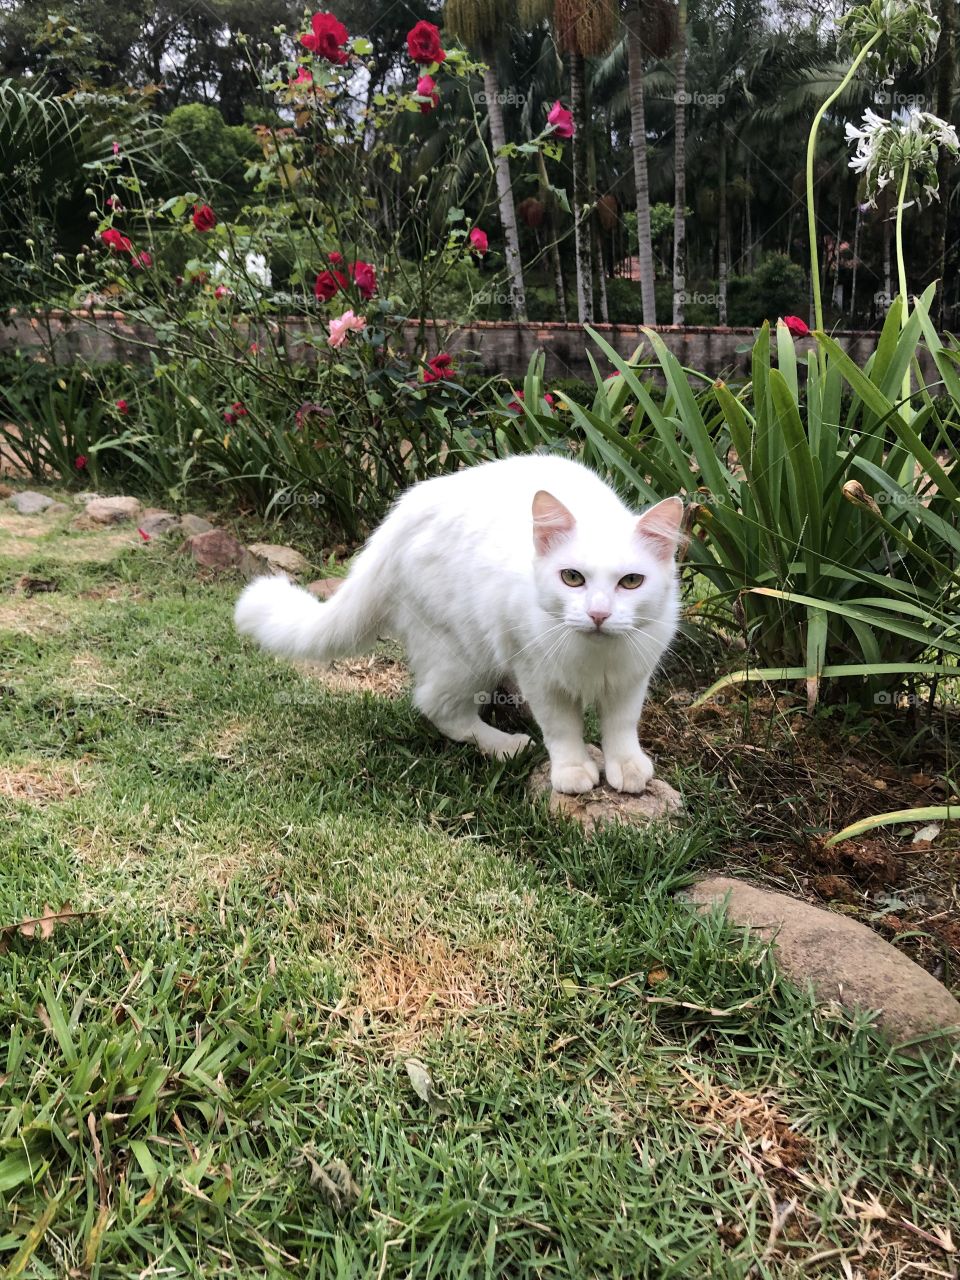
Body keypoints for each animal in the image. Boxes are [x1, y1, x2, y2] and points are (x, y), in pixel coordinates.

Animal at [232, 450, 686, 788]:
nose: (598, 613)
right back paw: (506, 746)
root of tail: (397, 519)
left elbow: (622, 726)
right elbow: (562, 730)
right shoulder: (537, 675)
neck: (594, 656)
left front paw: (626, 767)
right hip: (467, 652)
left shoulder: (632, 677)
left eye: (631, 582)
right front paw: (573, 771)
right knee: (438, 707)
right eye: (572, 578)